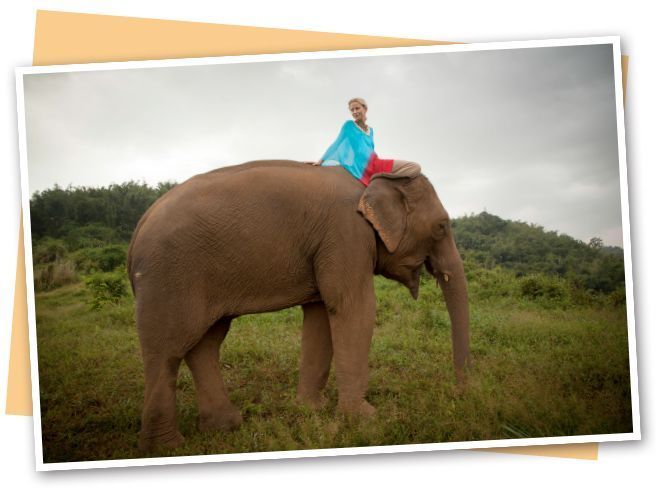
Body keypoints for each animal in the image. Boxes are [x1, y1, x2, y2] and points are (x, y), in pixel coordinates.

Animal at [127, 160, 470, 451]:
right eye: (441, 226)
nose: (459, 392)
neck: (369, 182)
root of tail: (138, 229)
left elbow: (320, 315)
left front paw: (310, 410)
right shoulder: (346, 235)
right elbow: (352, 307)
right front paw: (365, 419)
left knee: (206, 343)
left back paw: (225, 426)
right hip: (168, 277)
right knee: (167, 350)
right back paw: (167, 447)